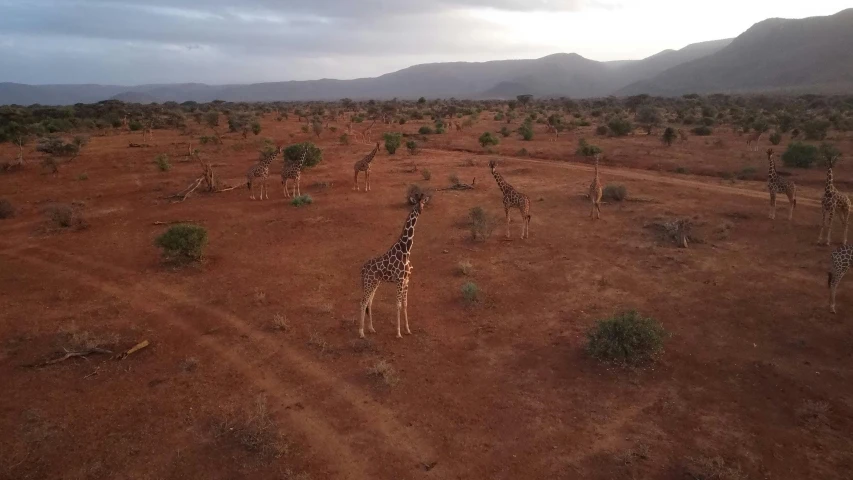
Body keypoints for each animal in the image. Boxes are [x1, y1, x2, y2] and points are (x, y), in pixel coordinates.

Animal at [358, 191, 430, 338]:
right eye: (415, 203)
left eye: (423, 203)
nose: (420, 211)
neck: (406, 250)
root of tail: (362, 269)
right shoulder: (399, 280)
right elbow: (398, 304)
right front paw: (398, 333)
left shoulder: (407, 280)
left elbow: (405, 304)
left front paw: (407, 329)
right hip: (369, 282)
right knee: (363, 302)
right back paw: (361, 332)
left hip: (375, 283)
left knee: (369, 302)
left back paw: (371, 328)